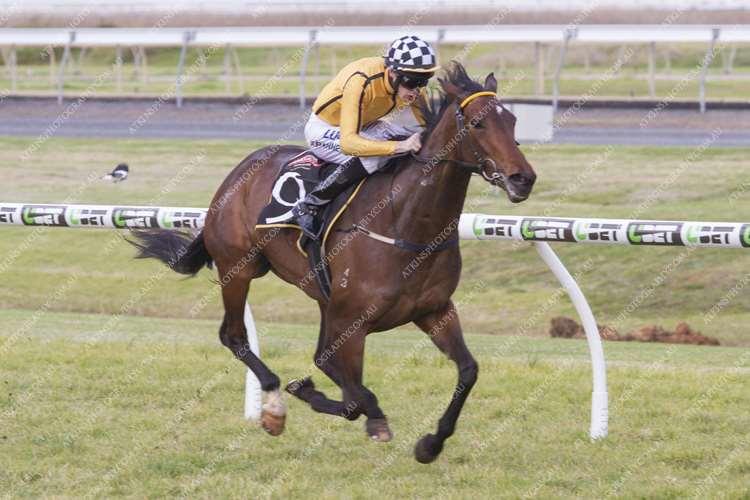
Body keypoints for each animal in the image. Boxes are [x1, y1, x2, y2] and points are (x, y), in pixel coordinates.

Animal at [129, 61, 536, 463]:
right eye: (478, 123)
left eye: (513, 120)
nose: (524, 178)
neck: (408, 223)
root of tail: (239, 170)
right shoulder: (351, 322)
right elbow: (354, 394)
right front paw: (350, 411)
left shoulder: (433, 310)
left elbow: (468, 371)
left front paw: (431, 443)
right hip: (238, 268)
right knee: (234, 335)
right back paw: (274, 406)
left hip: (322, 298)